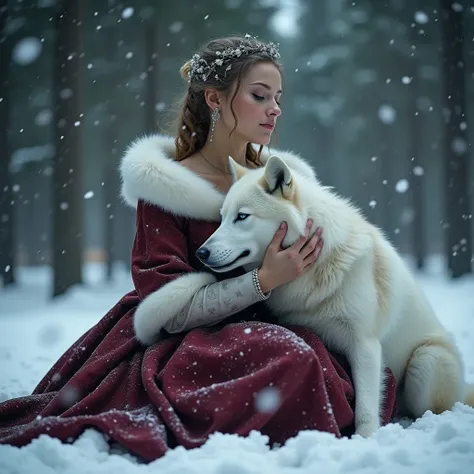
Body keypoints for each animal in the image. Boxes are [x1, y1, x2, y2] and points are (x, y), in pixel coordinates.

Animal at [195, 155, 474, 436]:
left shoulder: (365, 344)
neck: (317, 267)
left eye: (242, 217)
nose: (201, 253)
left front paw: (365, 438)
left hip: (427, 361)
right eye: (221, 218)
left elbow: (365, 408)